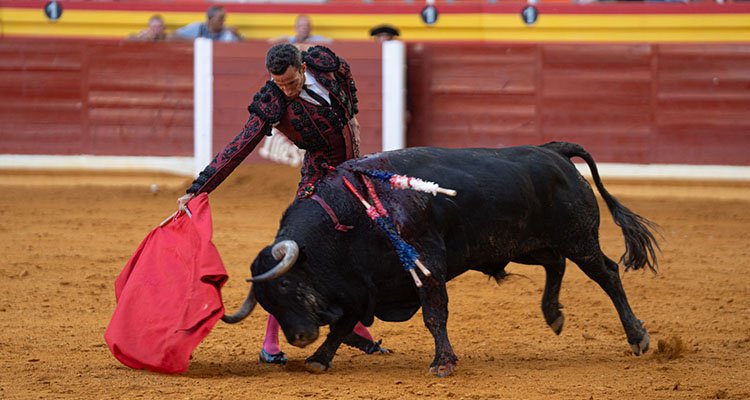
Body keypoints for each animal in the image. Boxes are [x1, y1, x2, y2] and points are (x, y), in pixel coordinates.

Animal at [222, 142, 656, 376]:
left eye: (284, 283)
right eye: (266, 302)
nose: (298, 337)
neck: (349, 216)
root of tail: (554, 152)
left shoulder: (426, 263)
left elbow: (434, 314)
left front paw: (443, 363)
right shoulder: (364, 285)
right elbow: (343, 325)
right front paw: (318, 359)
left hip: (578, 239)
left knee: (608, 274)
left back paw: (637, 337)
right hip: (527, 245)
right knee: (556, 264)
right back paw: (553, 315)